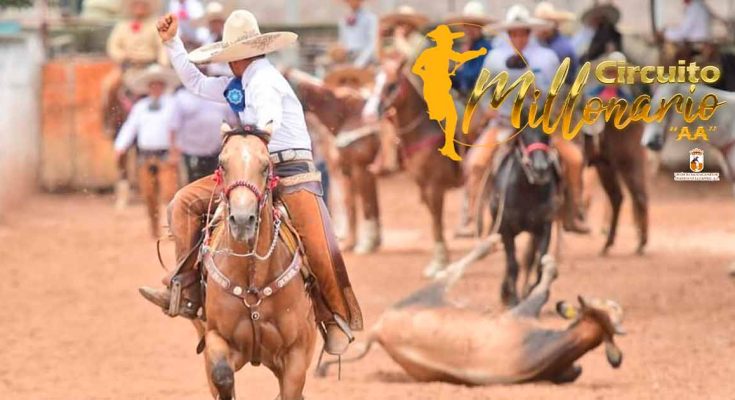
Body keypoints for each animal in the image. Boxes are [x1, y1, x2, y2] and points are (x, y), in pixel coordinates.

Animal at [201, 134, 316, 400]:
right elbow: (222, 375)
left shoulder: (296, 354)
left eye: (265, 167)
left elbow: (290, 393)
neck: (253, 279)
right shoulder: (215, 336)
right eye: (222, 164)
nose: (243, 220)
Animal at [284, 69, 382, 253]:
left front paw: (366, 243)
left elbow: (365, 204)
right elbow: (353, 204)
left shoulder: (360, 168)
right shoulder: (347, 169)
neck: (346, 114)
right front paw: (355, 242)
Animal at [320, 256, 624, 384]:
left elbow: (542, 290)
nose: (618, 305)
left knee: (453, 269)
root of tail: (379, 332)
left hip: (424, 296)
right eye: (609, 305)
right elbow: (541, 290)